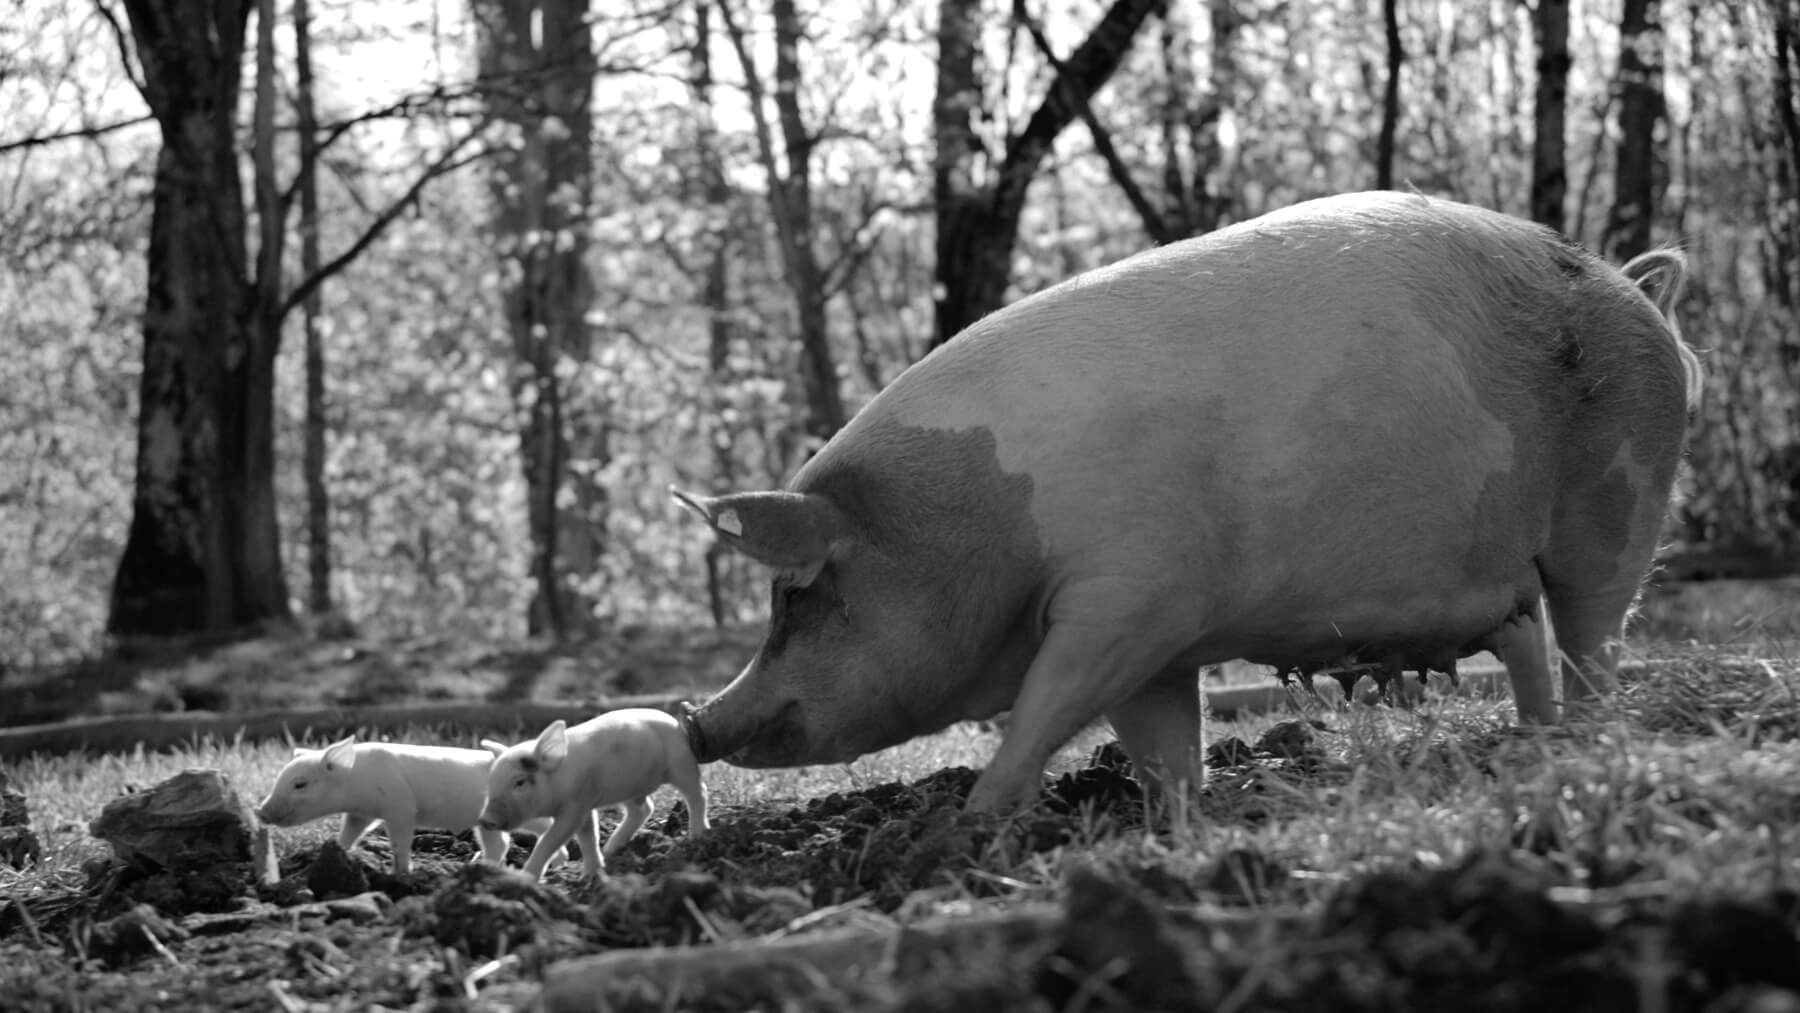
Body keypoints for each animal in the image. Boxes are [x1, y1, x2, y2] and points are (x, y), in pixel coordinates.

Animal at [256, 737, 555, 875]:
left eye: (300, 784)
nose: (260, 811)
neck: (356, 780)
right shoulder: (360, 812)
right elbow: (350, 833)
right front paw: (335, 852)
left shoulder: (400, 806)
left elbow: (399, 842)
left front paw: (399, 874)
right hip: (490, 823)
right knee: (500, 844)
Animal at [477, 708, 710, 882]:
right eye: (491, 782)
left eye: (520, 782)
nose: (485, 820)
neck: (558, 780)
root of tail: (673, 721)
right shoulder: (585, 805)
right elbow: (588, 837)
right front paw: (590, 874)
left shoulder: (574, 807)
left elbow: (550, 840)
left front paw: (525, 879)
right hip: (630, 788)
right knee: (644, 809)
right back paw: (610, 849)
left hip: (681, 764)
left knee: (698, 793)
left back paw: (698, 834)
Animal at [672, 190, 1701, 817]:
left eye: (799, 595)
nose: (697, 720)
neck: (979, 529)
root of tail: (1634, 284)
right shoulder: (1159, 644)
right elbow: (1161, 739)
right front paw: (1180, 817)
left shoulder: (1130, 596)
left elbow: (1044, 707)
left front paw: (965, 825)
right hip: (1506, 566)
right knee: (1530, 637)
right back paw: (1536, 745)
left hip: (1618, 505)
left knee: (1594, 637)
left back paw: (1590, 742)